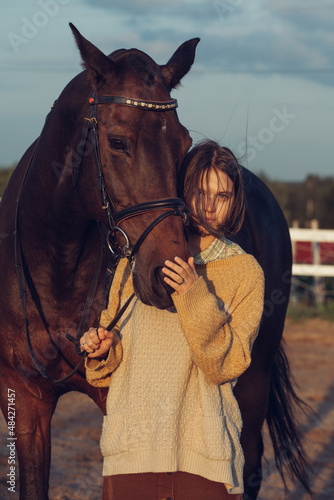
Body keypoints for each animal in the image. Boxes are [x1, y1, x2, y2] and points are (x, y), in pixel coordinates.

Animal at [0, 24, 310, 500]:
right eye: (117, 141)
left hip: (254, 374)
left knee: (251, 463)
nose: (165, 276)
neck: (56, 268)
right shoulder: (25, 399)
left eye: (184, 143)